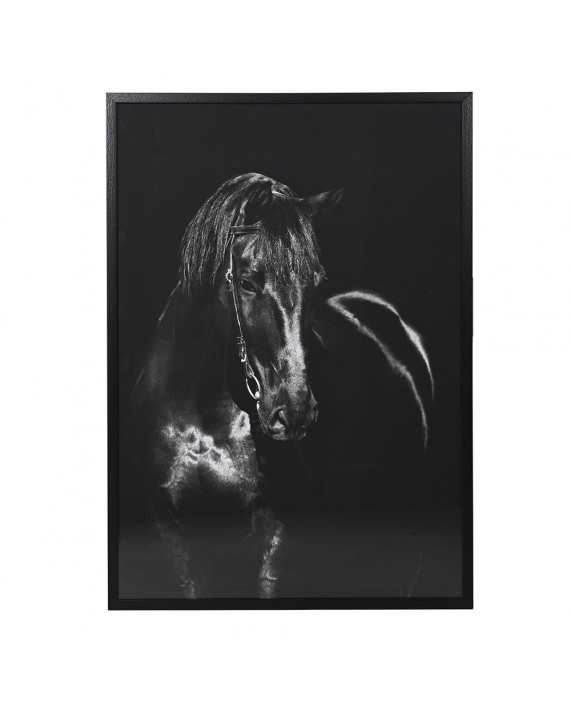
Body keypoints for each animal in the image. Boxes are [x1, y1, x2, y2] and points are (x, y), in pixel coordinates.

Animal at [132, 173, 433, 599]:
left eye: (317, 280)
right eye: (246, 281)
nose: (295, 412)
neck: (201, 421)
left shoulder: (274, 532)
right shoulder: (167, 526)